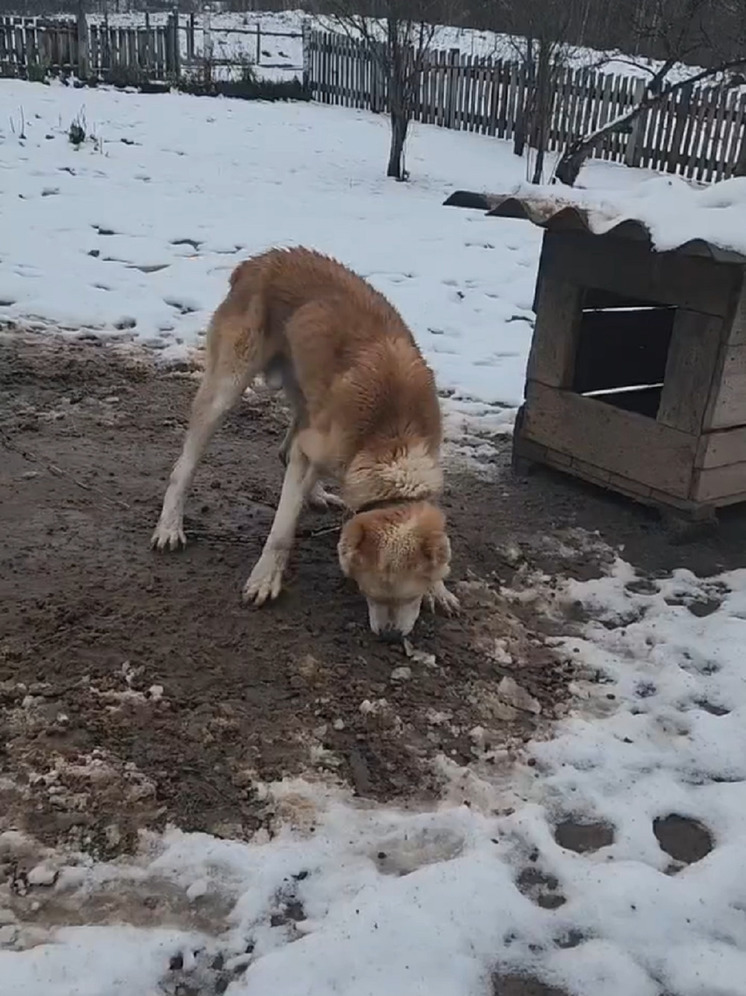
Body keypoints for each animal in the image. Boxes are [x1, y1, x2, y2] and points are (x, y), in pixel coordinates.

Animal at [151, 245, 456, 640]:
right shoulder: (311, 452)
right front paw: (265, 579)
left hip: (307, 398)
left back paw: (317, 493)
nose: (389, 637)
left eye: (411, 595)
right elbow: (281, 530)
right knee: (184, 468)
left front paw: (439, 589)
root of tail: (260, 260)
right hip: (225, 391)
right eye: (368, 591)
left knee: (285, 450)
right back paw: (169, 527)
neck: (392, 437)